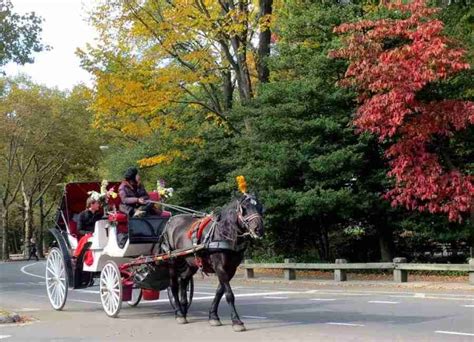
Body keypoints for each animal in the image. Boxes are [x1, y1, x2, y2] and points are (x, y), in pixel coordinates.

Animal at [162, 194, 264, 332]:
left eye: (260, 206)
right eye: (244, 208)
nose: (258, 229)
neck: (223, 233)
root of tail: (171, 221)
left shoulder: (231, 269)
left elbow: (219, 292)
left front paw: (213, 316)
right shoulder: (219, 266)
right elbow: (229, 294)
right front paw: (236, 321)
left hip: (191, 263)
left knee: (183, 280)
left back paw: (183, 310)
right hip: (172, 260)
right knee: (173, 285)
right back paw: (179, 313)